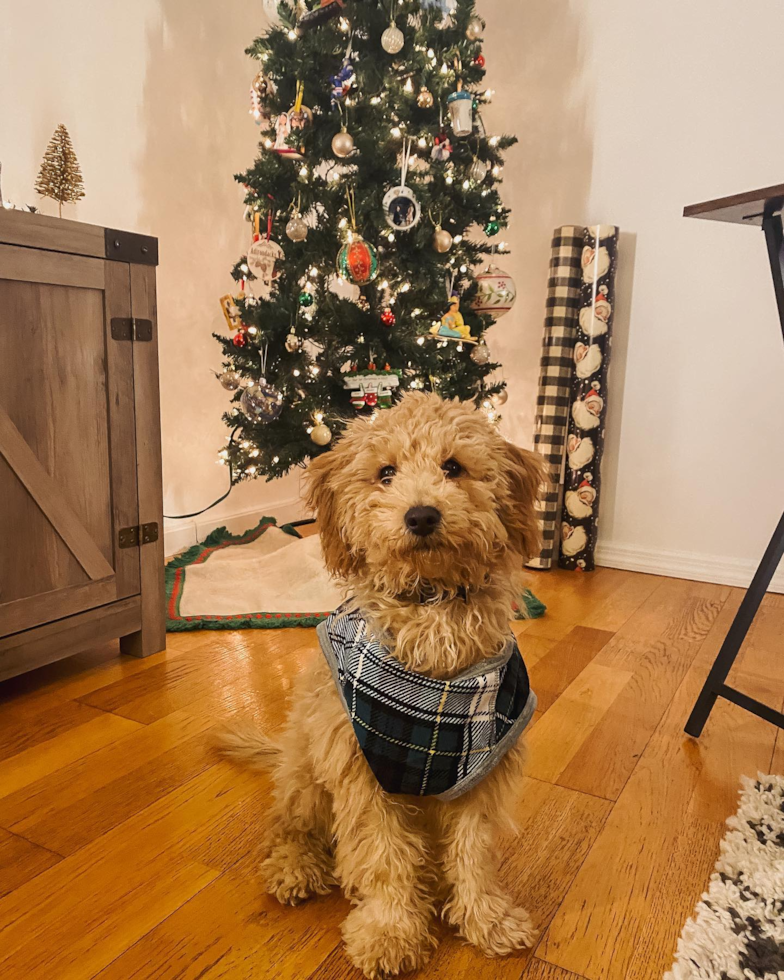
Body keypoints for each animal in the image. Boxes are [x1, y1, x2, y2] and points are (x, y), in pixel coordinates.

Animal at [224, 394, 544, 976]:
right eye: (385, 473)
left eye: (453, 467)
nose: (421, 515)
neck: (431, 610)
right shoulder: (360, 769)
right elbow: (383, 856)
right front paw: (390, 932)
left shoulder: (482, 767)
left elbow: (474, 851)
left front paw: (487, 918)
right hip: (307, 773)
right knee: (289, 826)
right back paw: (295, 866)